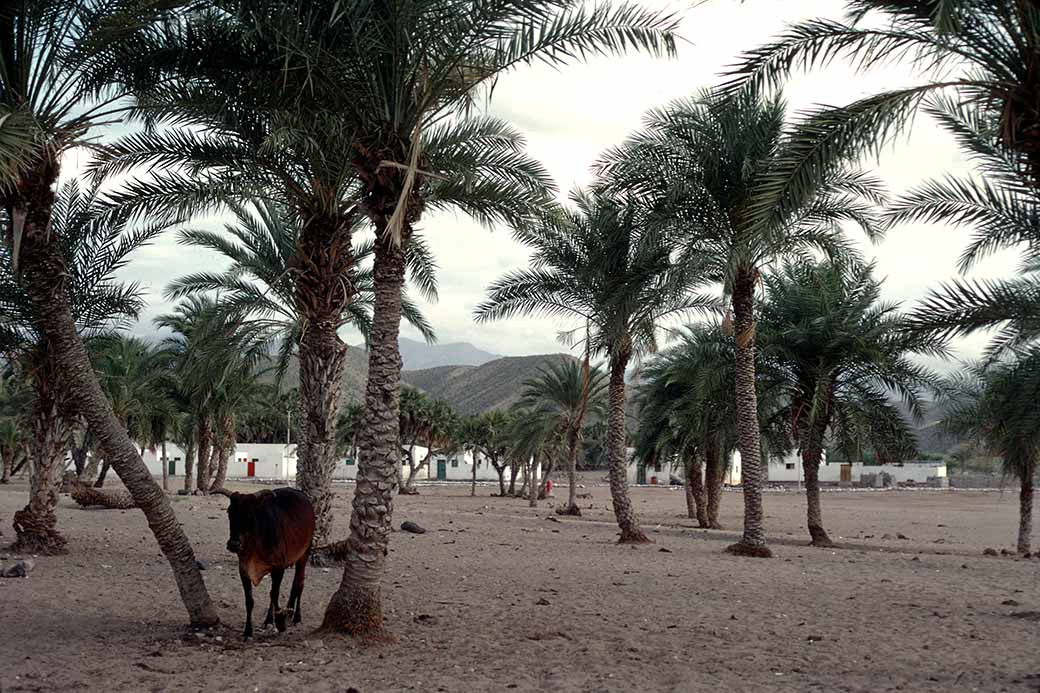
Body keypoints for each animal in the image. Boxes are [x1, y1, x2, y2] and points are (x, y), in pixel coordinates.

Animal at [212, 484, 316, 636]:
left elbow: (274, 594)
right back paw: (277, 616)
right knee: (294, 585)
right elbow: (249, 600)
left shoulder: (278, 568)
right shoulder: (243, 569)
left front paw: (280, 621)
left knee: (300, 583)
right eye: (229, 512)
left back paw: (297, 617)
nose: (233, 544)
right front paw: (248, 631)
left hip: (304, 554)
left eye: (249, 514)